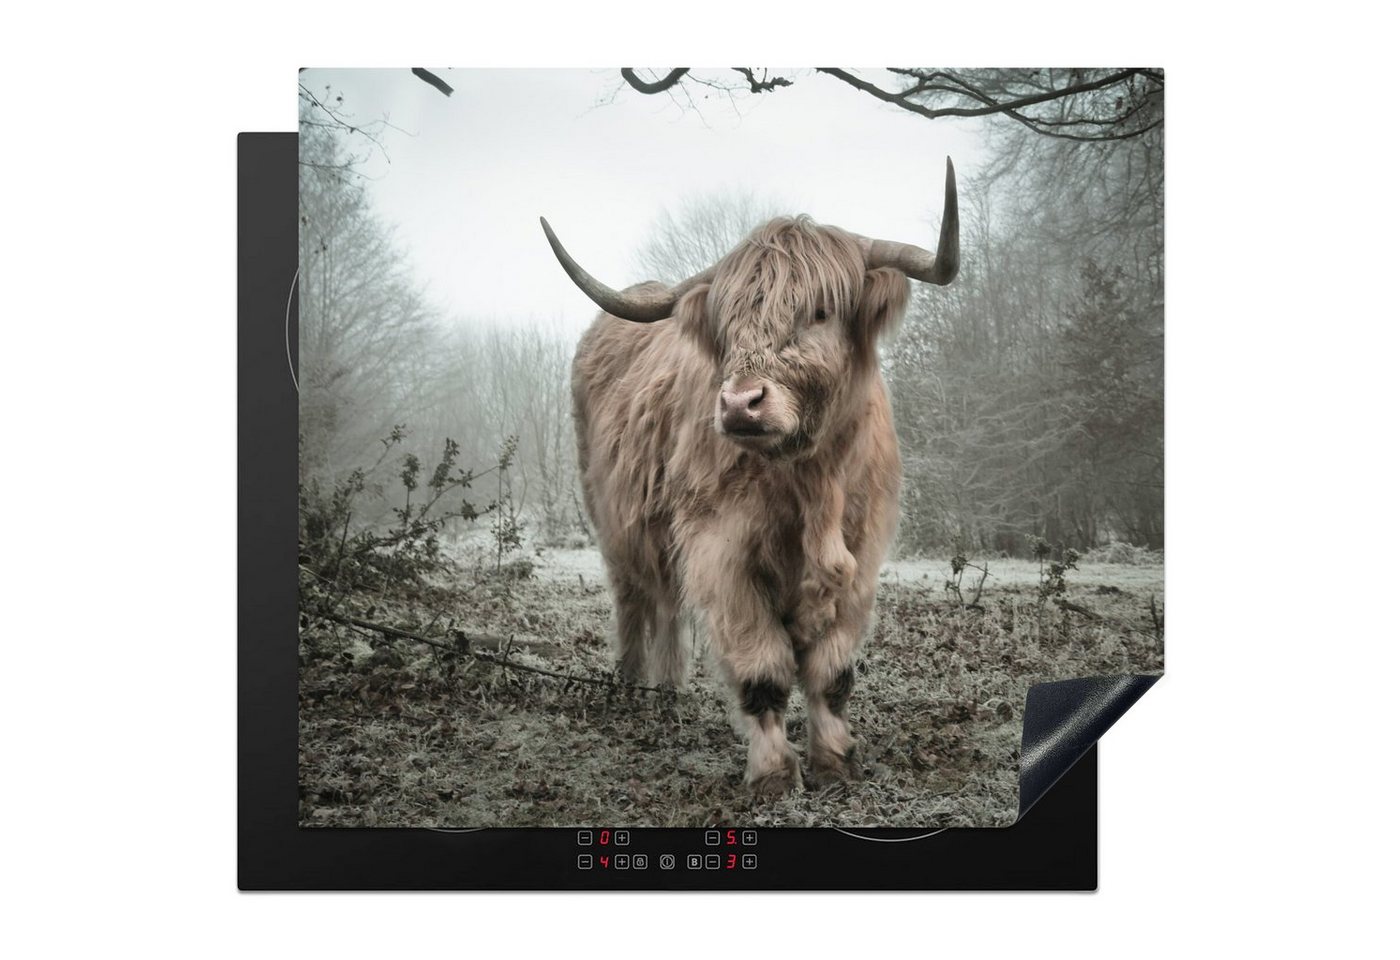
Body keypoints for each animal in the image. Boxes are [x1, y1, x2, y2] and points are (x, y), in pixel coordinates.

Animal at [541, 160, 959, 797]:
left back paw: (669, 691)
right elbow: (763, 669)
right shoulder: (722, 552)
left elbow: (832, 672)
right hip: (614, 523)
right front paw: (774, 774)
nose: (740, 404)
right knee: (635, 601)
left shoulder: (862, 555)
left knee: (668, 604)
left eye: (820, 311)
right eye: (729, 322)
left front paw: (835, 761)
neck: (811, 483)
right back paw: (633, 687)